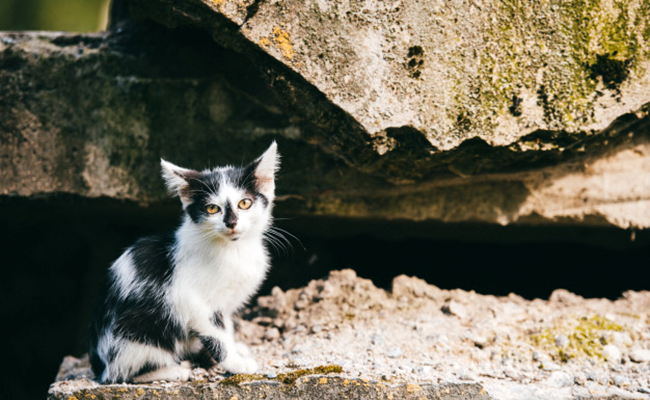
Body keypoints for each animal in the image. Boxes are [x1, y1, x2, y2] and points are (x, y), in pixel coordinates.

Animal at [89, 142, 278, 382]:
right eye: (212, 208)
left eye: (245, 203)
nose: (232, 223)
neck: (232, 249)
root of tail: (99, 366)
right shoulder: (191, 300)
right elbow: (216, 335)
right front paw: (236, 363)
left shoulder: (224, 305)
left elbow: (226, 329)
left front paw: (237, 349)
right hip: (136, 333)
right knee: (121, 375)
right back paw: (175, 370)